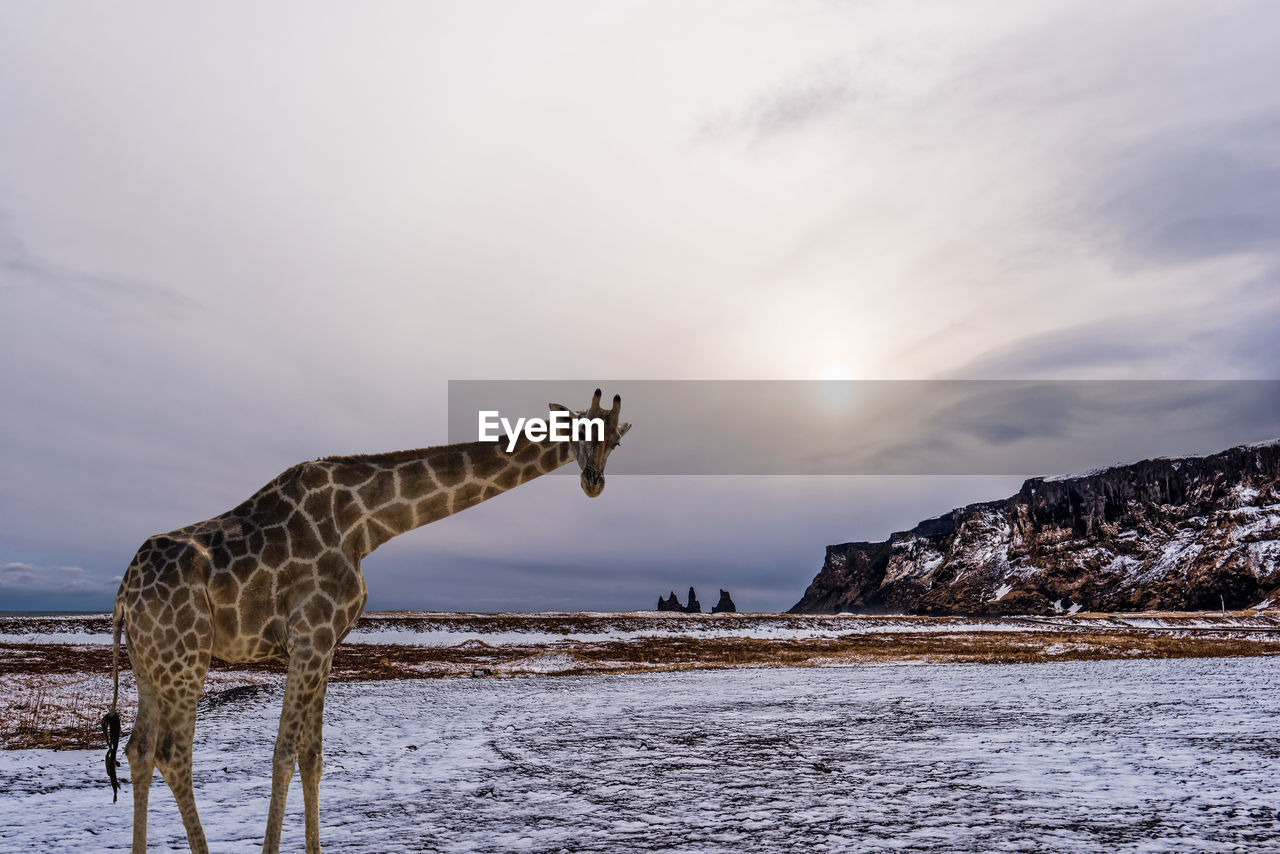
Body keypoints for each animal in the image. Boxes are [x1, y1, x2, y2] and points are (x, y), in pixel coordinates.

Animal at [102, 391, 632, 850]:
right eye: (579, 432)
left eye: (615, 441)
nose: (593, 481)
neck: (367, 524)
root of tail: (123, 593)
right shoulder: (310, 635)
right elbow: (283, 756)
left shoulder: (326, 644)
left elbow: (312, 758)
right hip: (186, 655)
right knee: (173, 753)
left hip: (150, 661)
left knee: (139, 749)